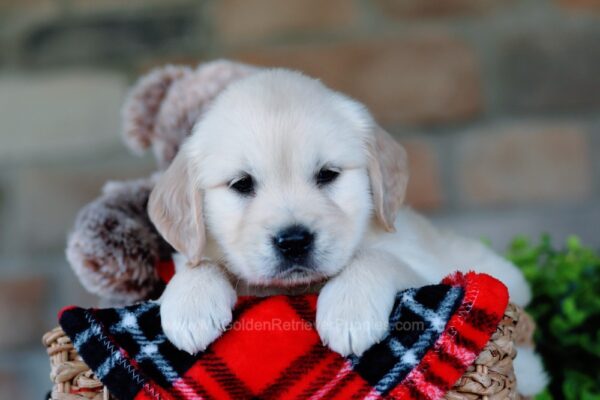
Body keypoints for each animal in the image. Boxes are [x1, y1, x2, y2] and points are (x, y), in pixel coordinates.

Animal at [149, 69, 544, 394]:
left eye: (328, 174)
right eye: (241, 184)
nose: (294, 242)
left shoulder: (425, 266)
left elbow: (375, 256)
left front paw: (348, 311)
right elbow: (198, 263)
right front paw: (190, 304)